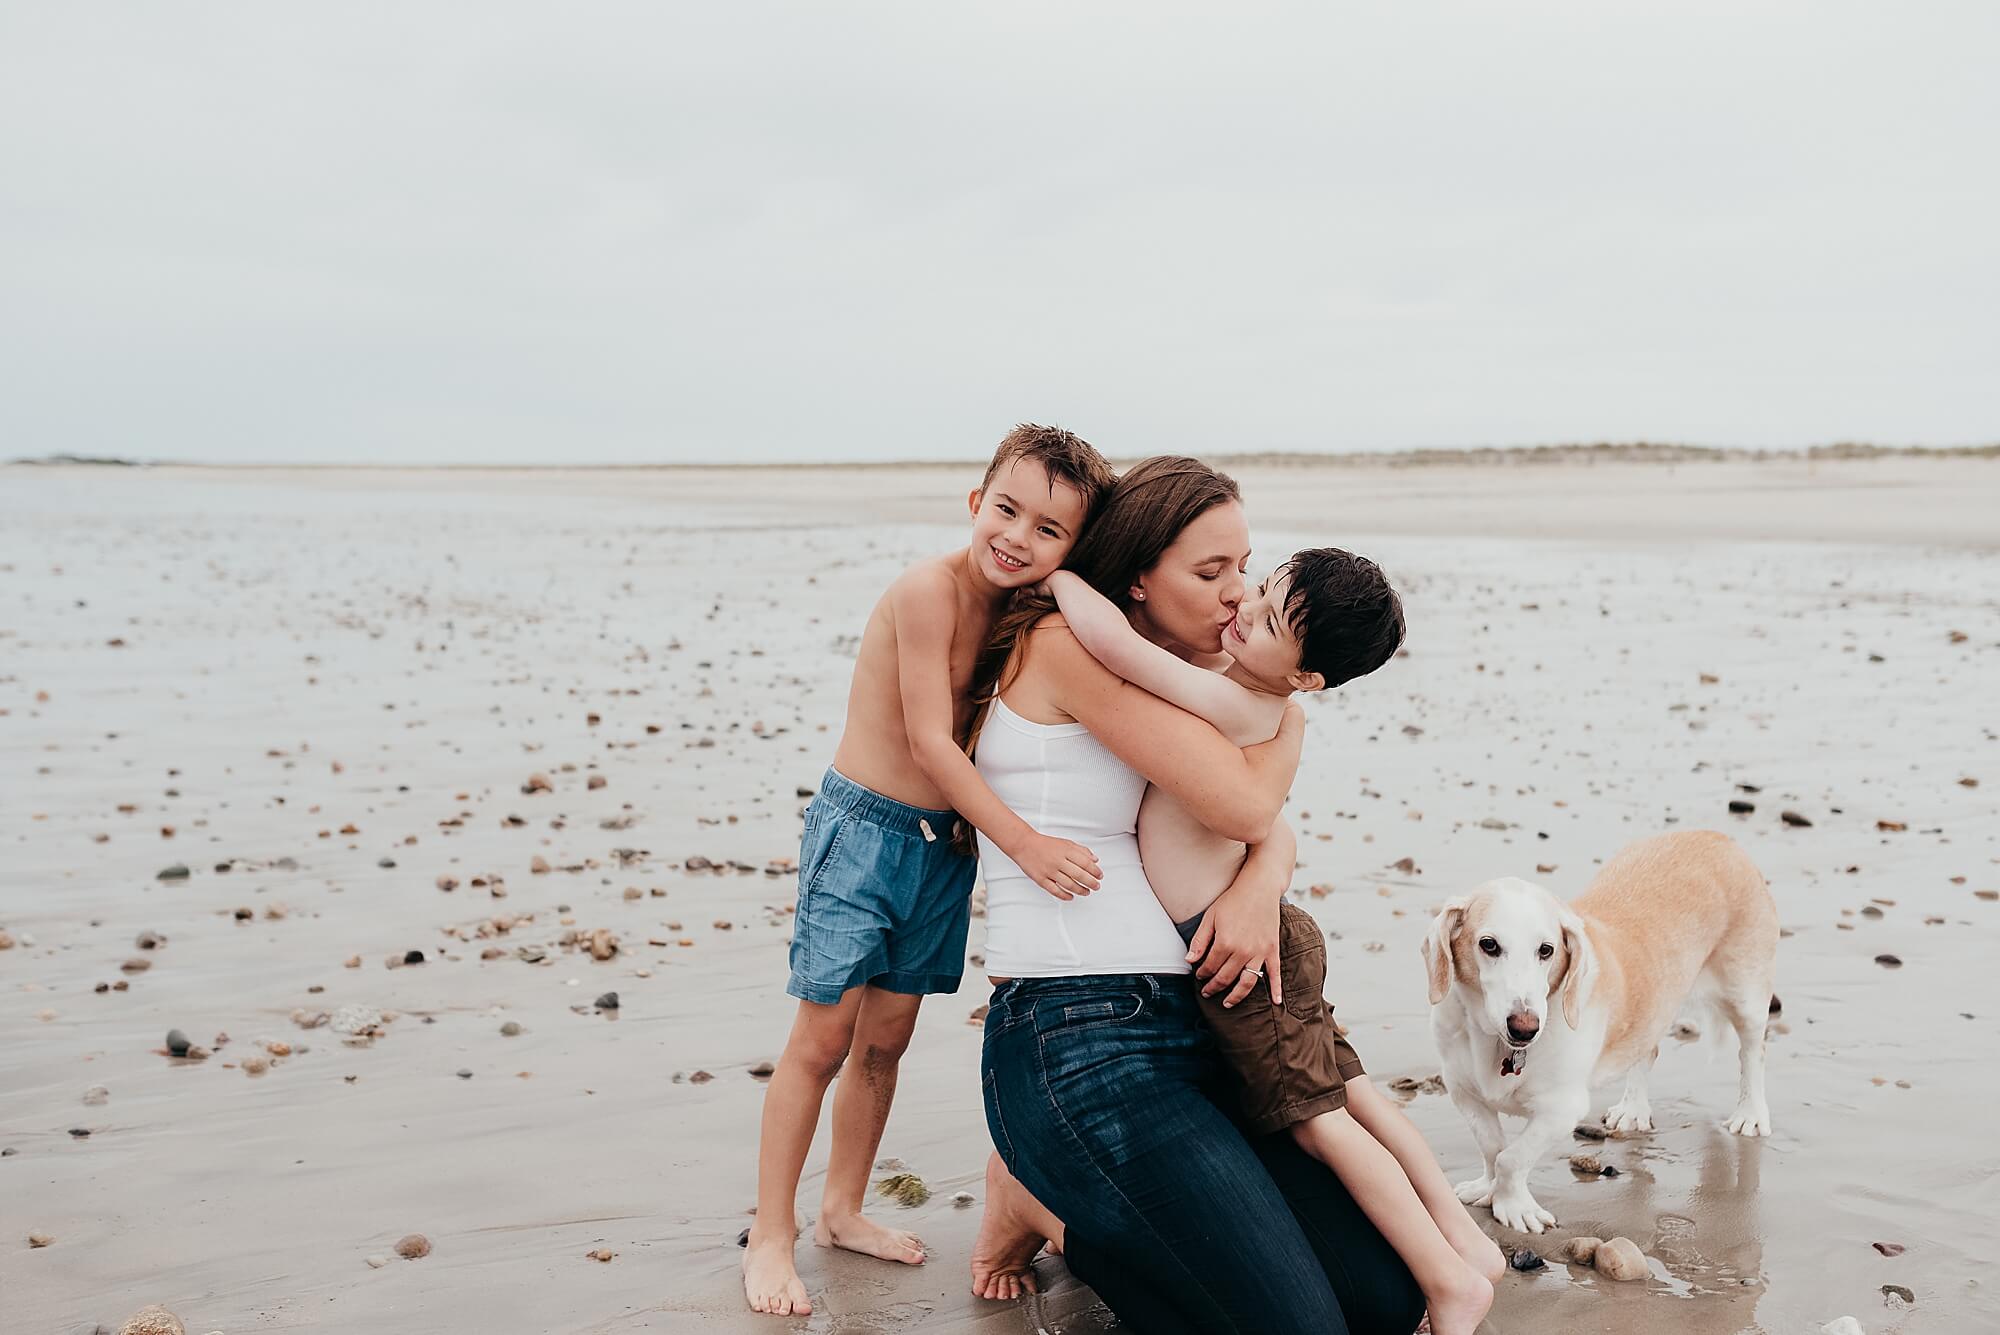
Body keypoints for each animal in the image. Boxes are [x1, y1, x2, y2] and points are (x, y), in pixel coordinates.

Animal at [1432, 827, 1776, 1239]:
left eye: (1546, 950)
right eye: (1488, 944)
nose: (1525, 1028)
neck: (1496, 1042)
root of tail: (1716, 836)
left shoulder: (1561, 1109)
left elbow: (1511, 1158)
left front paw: (1514, 1207)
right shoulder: (1463, 1092)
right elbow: (1491, 1147)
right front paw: (1487, 1189)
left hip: (1747, 998)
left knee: (1752, 1054)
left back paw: (1750, 1114)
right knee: (1647, 1052)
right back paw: (1633, 1109)